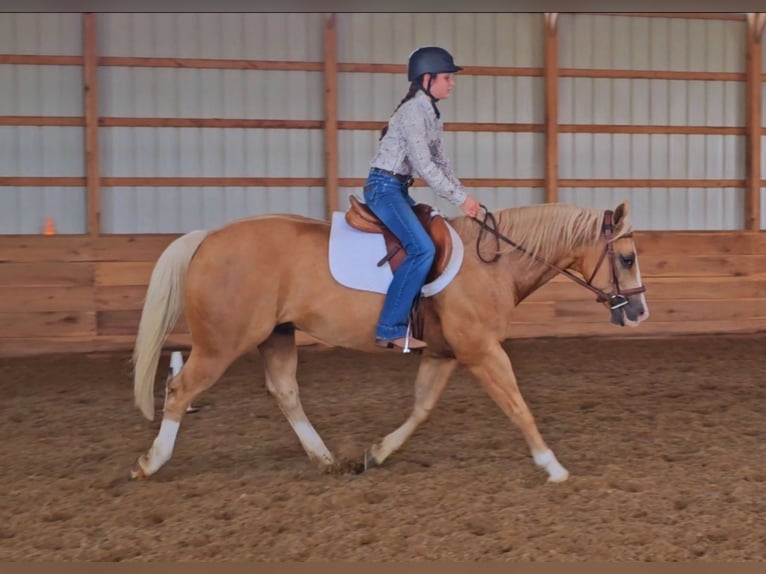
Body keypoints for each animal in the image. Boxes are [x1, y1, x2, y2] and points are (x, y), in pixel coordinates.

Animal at [130, 200, 648, 484]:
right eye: (625, 258)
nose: (640, 312)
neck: (493, 262)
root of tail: (208, 239)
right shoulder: (482, 350)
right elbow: (518, 406)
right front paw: (552, 465)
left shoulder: (444, 353)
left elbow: (421, 408)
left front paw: (376, 453)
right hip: (221, 344)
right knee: (180, 390)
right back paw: (151, 463)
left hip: (276, 335)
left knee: (286, 392)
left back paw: (326, 460)